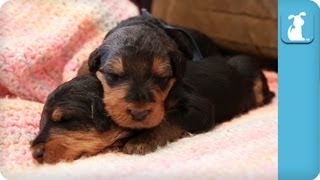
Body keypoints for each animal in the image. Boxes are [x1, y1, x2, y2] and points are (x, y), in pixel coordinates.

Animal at [87, 15, 276, 155]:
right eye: (113, 75)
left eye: (161, 77)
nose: (139, 113)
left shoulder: (199, 109)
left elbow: (167, 120)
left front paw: (141, 140)